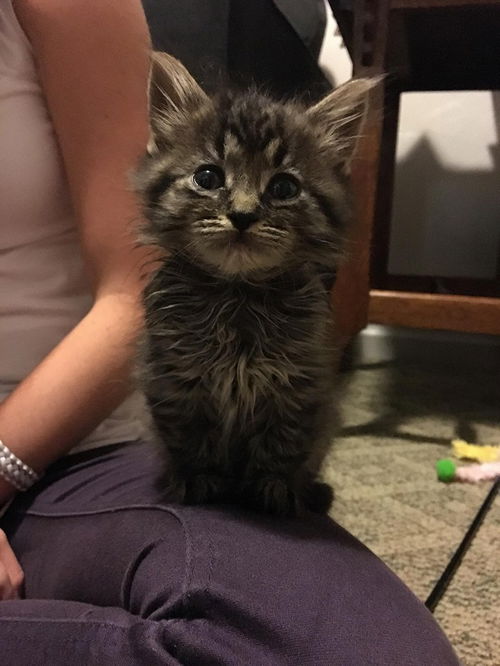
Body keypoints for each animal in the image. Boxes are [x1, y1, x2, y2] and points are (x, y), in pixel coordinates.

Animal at [135, 54, 374, 516]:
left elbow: (283, 441)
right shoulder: (174, 380)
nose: (243, 215)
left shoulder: (300, 384)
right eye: (208, 178)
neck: (238, 294)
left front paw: (273, 489)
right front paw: (198, 479)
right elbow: (189, 436)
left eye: (284, 187)